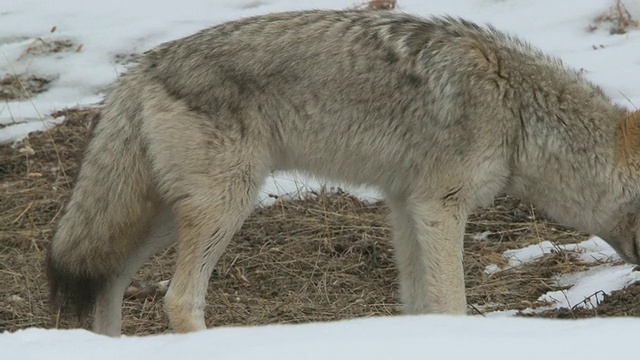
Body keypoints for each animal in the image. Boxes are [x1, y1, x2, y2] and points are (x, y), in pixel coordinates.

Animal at [47, 9, 640, 336]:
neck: (518, 110)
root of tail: (140, 67)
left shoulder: (405, 205)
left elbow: (418, 303)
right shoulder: (440, 206)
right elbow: (450, 302)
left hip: (167, 218)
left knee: (106, 284)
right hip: (226, 206)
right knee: (177, 299)